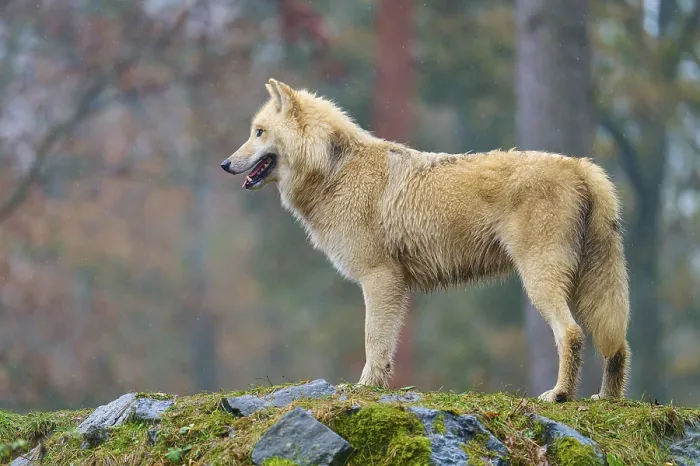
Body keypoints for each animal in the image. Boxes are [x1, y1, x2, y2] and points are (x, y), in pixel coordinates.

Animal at [220, 78, 631, 403]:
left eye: (258, 132)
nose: (224, 164)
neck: (335, 172)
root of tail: (581, 166)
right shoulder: (396, 287)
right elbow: (386, 347)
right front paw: (376, 386)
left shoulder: (380, 280)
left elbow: (373, 341)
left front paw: (363, 389)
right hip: (589, 288)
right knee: (618, 343)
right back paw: (606, 399)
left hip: (541, 281)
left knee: (572, 334)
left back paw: (559, 395)